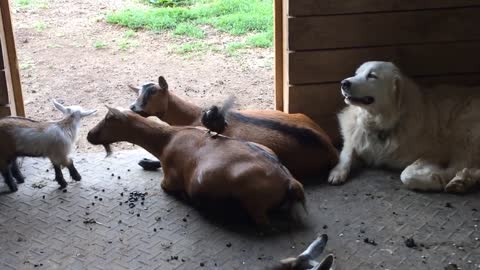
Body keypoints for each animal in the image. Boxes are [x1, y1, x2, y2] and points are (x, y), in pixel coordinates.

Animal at [87, 107, 306, 226]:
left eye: (108, 119)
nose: (89, 135)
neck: (166, 140)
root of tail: (289, 181)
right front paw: (145, 162)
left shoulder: (170, 178)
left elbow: (166, 186)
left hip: (252, 201)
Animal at [127, 77, 338, 180]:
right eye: (138, 92)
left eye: (153, 92)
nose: (133, 108)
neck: (192, 115)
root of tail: (331, 149)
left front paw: (146, 162)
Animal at [326, 61, 480, 192]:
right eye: (356, 73)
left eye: (372, 75)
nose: (343, 83)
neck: (381, 124)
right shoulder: (355, 134)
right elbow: (346, 152)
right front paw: (337, 172)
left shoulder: (437, 151)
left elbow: (406, 174)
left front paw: (435, 178)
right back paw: (462, 181)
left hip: (463, 131)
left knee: (459, 165)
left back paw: (457, 181)